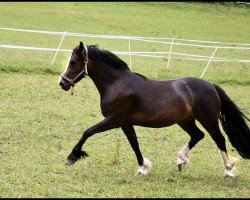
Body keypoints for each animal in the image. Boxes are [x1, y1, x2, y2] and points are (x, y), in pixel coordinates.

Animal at [59, 41, 250, 178]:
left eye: (73, 62)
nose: (62, 83)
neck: (117, 84)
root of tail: (211, 86)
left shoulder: (113, 120)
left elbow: (87, 132)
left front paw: (72, 157)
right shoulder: (125, 123)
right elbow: (134, 144)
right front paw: (143, 168)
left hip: (208, 120)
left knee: (220, 140)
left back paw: (228, 170)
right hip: (185, 120)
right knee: (198, 135)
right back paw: (180, 161)